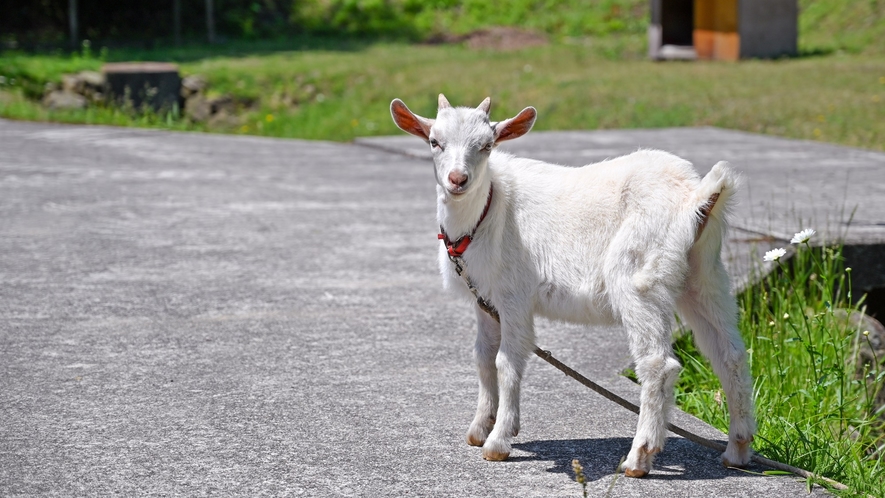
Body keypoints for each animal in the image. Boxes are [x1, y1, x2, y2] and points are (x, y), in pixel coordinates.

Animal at [390, 95, 756, 476]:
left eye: (487, 145)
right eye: (435, 142)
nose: (458, 179)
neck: (486, 211)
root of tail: (695, 196)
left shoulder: (514, 295)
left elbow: (507, 362)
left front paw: (498, 441)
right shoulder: (485, 299)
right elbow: (483, 358)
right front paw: (480, 428)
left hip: (640, 277)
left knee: (658, 364)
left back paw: (639, 457)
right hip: (704, 275)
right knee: (729, 354)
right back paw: (737, 449)